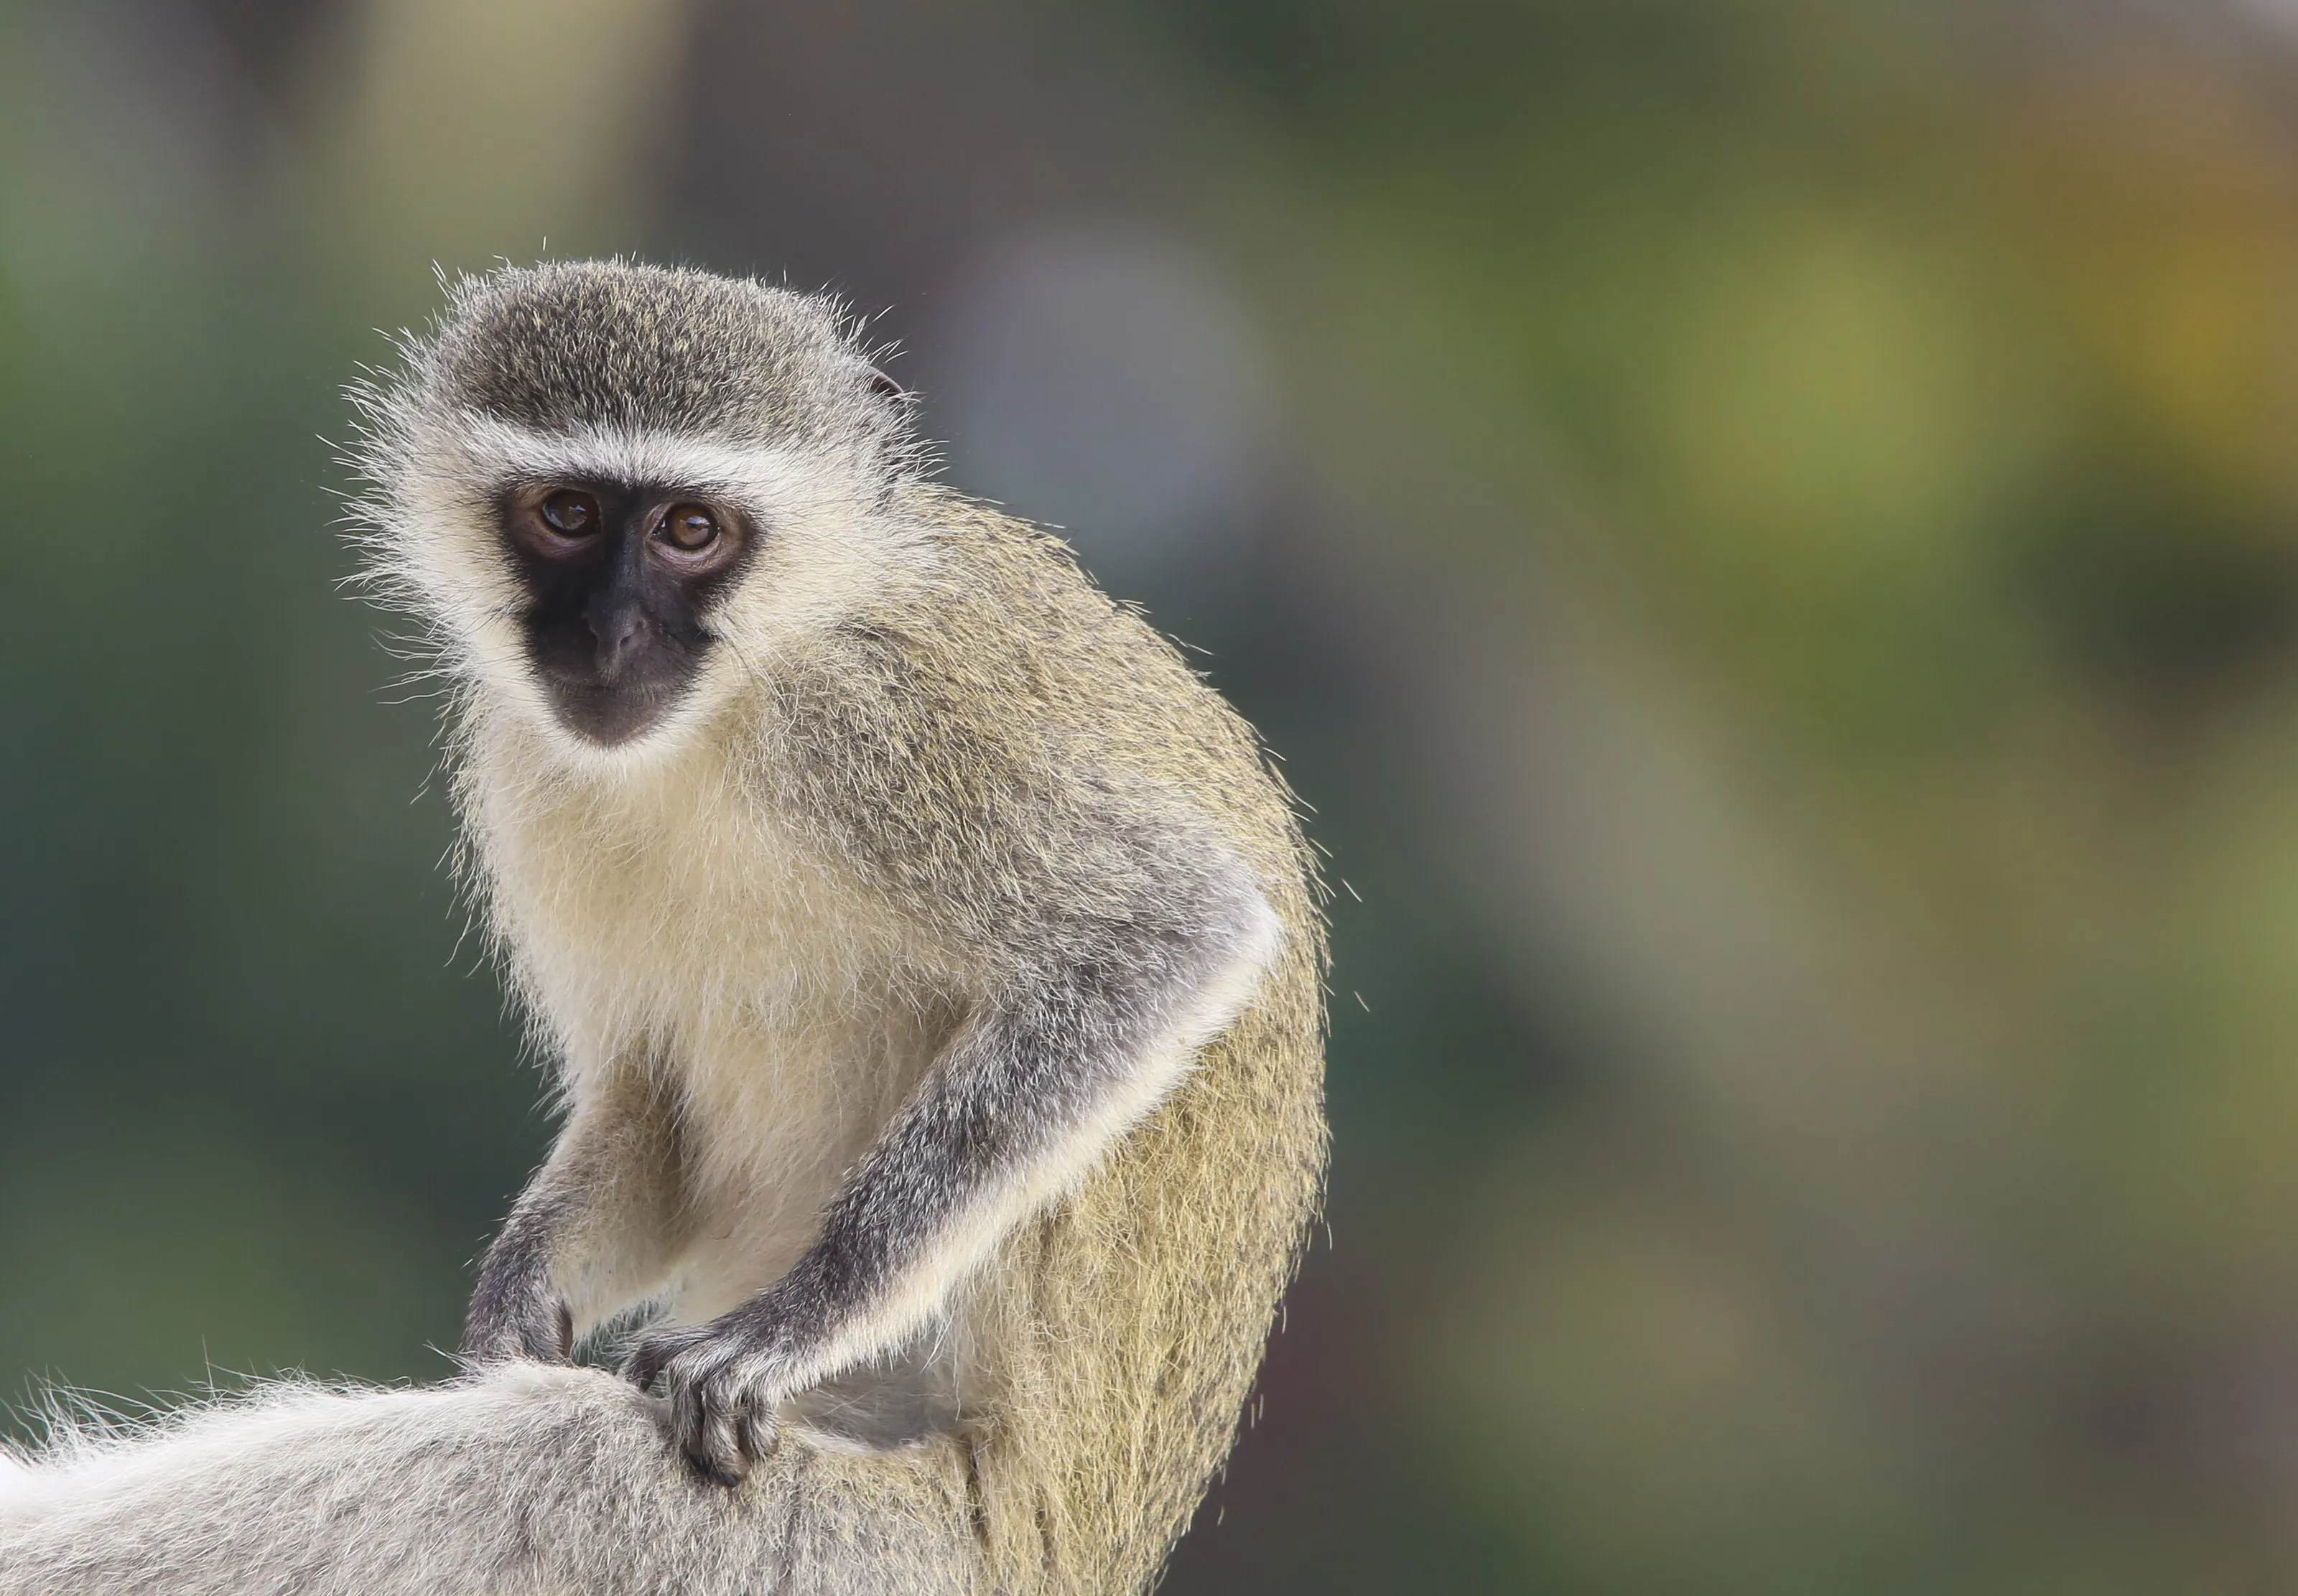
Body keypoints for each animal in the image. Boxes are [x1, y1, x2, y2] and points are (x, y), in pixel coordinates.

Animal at [0, 259, 1327, 1596]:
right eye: (568, 513)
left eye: (693, 530)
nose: (609, 635)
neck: (734, 699)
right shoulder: (520, 758)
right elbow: (656, 1106)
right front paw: (518, 1296)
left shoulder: (878, 728)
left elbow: (1169, 933)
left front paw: (789, 1323)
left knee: (544, 1461)